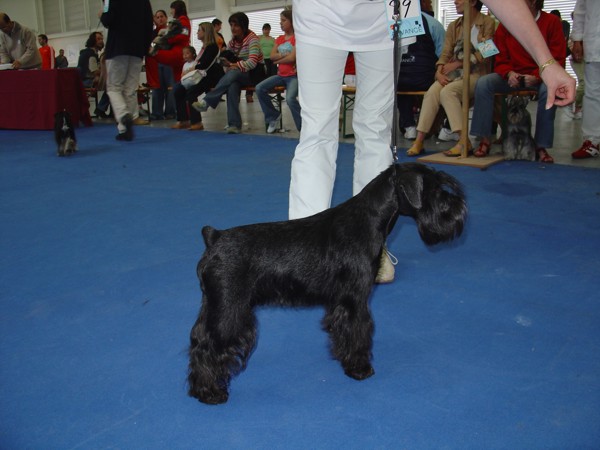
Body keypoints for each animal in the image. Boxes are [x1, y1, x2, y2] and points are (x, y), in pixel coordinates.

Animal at [189, 162, 468, 404]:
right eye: (434, 189)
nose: (459, 209)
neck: (368, 219)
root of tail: (214, 237)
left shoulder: (341, 302)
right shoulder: (355, 300)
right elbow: (358, 332)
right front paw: (359, 368)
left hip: (212, 307)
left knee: (199, 343)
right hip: (229, 310)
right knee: (210, 349)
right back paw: (210, 392)